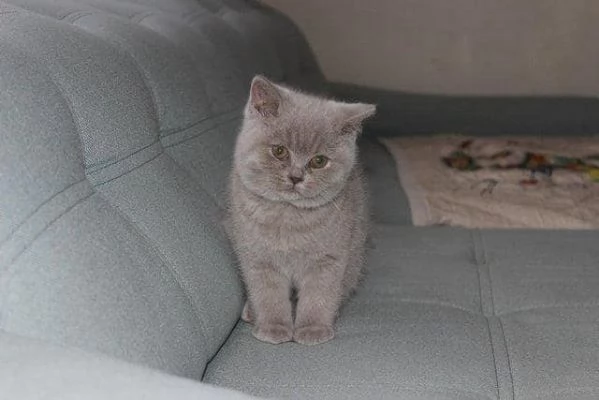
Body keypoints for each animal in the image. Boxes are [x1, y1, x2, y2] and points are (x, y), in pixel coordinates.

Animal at [225, 76, 376, 346]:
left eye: (319, 161)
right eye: (279, 151)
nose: (296, 177)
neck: (288, 216)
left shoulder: (329, 258)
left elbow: (320, 294)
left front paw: (313, 329)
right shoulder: (256, 256)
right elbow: (267, 294)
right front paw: (273, 327)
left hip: (356, 254)